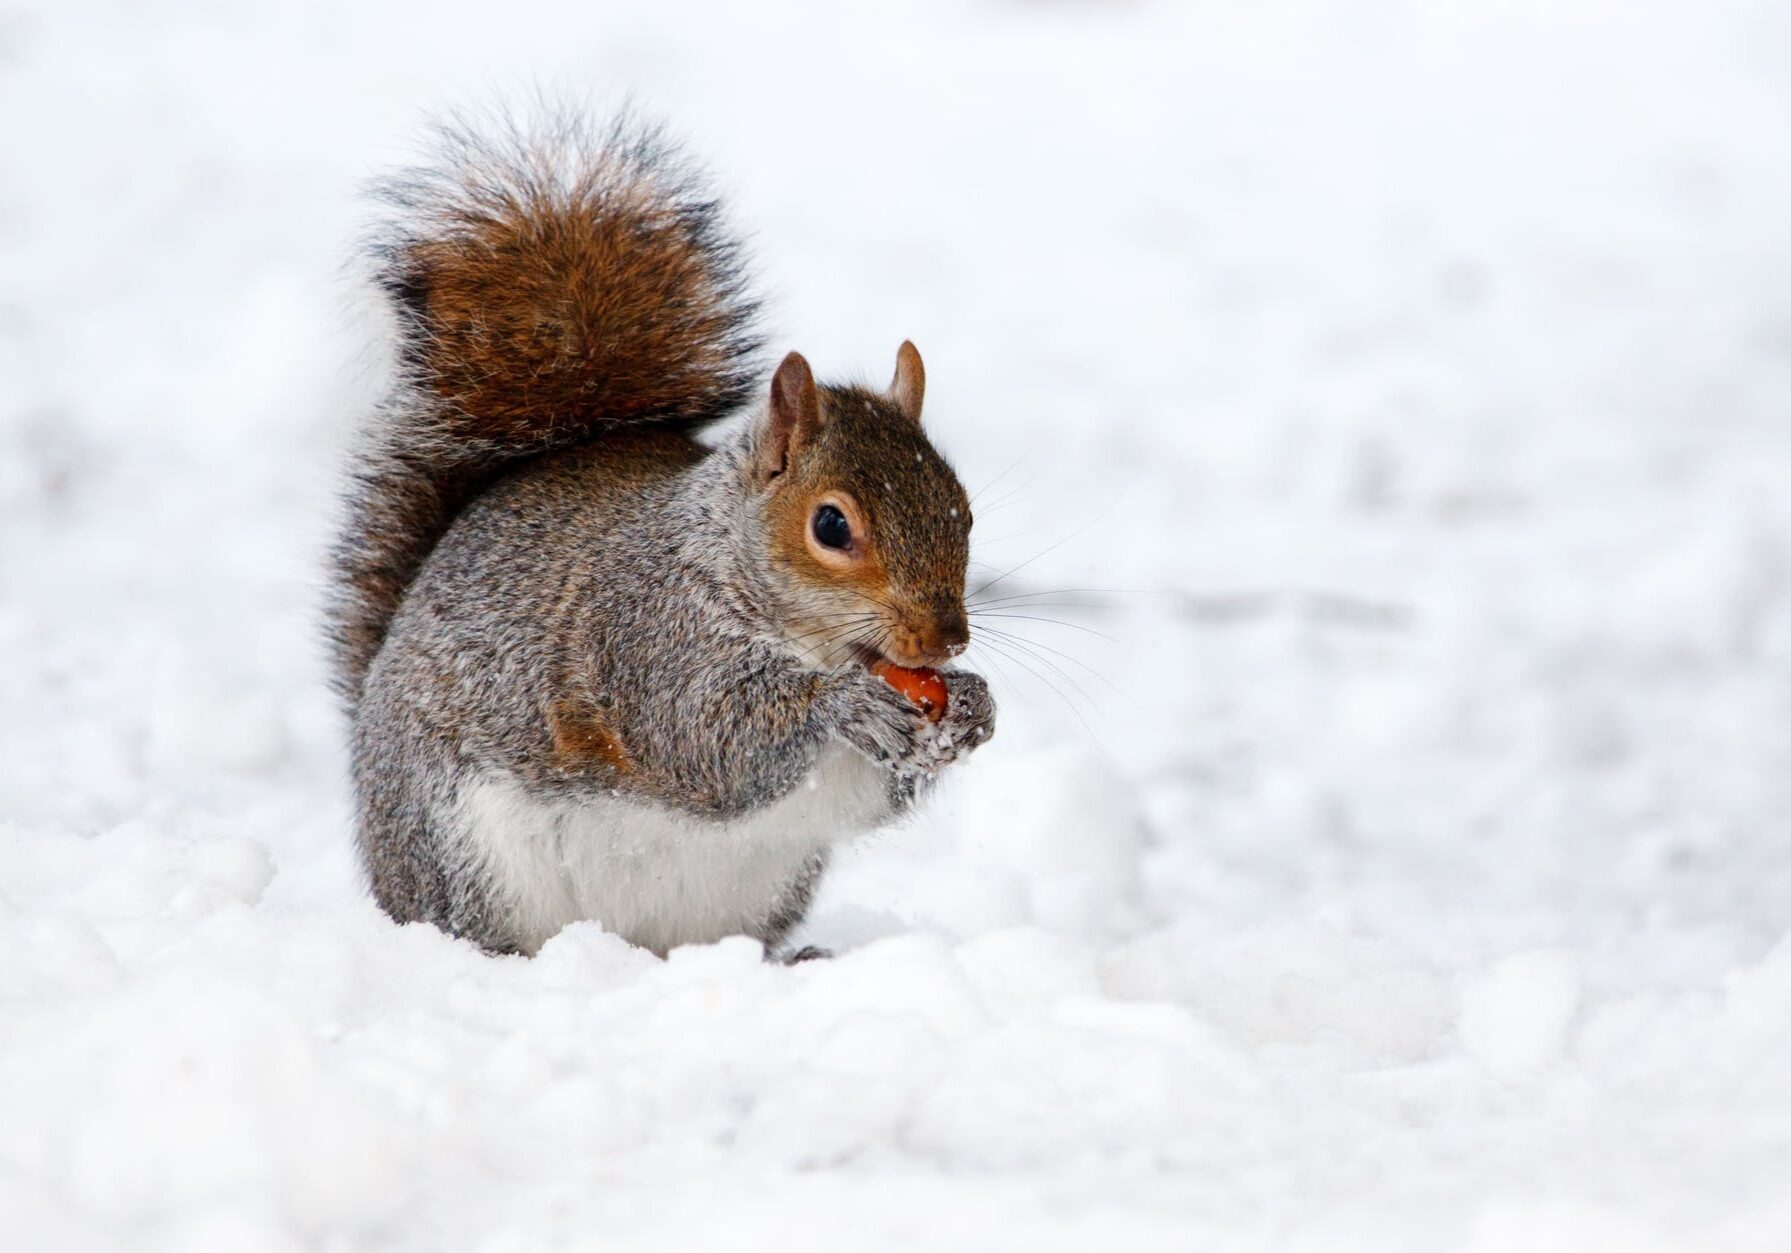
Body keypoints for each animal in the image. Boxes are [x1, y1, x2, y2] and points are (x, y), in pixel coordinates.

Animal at [326, 111, 996, 960]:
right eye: (831, 524)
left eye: (963, 509)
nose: (946, 639)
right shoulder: (649, 636)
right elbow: (707, 739)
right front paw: (844, 705)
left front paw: (972, 707)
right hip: (459, 851)